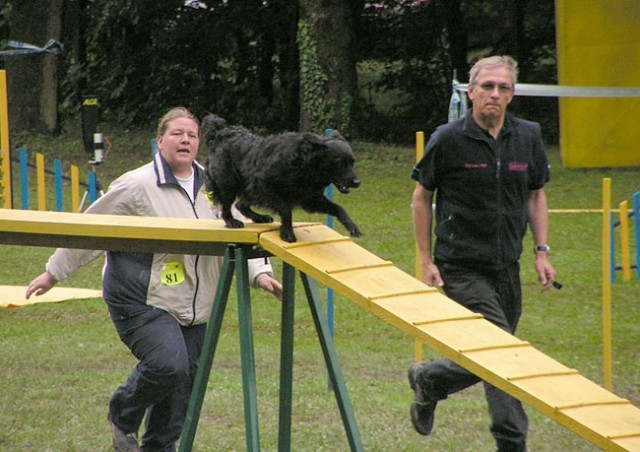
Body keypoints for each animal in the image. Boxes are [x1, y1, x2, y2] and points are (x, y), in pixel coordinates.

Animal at [201, 115, 360, 242]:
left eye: (352, 162)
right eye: (339, 163)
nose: (357, 182)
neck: (305, 164)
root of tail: (221, 132)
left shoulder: (310, 198)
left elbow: (338, 208)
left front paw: (352, 226)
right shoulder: (263, 185)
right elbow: (285, 210)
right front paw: (287, 232)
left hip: (247, 189)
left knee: (241, 204)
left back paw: (259, 217)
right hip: (229, 183)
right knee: (227, 206)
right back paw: (231, 221)